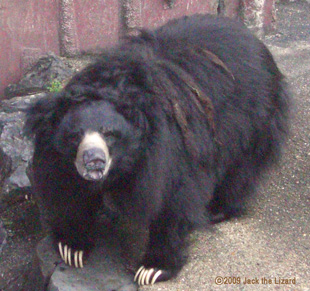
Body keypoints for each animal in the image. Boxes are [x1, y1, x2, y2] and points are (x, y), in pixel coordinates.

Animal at [25, 14, 290, 286]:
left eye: (110, 133)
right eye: (75, 136)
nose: (94, 161)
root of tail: (251, 36)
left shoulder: (169, 151)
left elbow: (173, 201)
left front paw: (152, 269)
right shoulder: (58, 161)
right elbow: (69, 192)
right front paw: (72, 248)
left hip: (252, 119)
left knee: (241, 168)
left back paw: (217, 209)